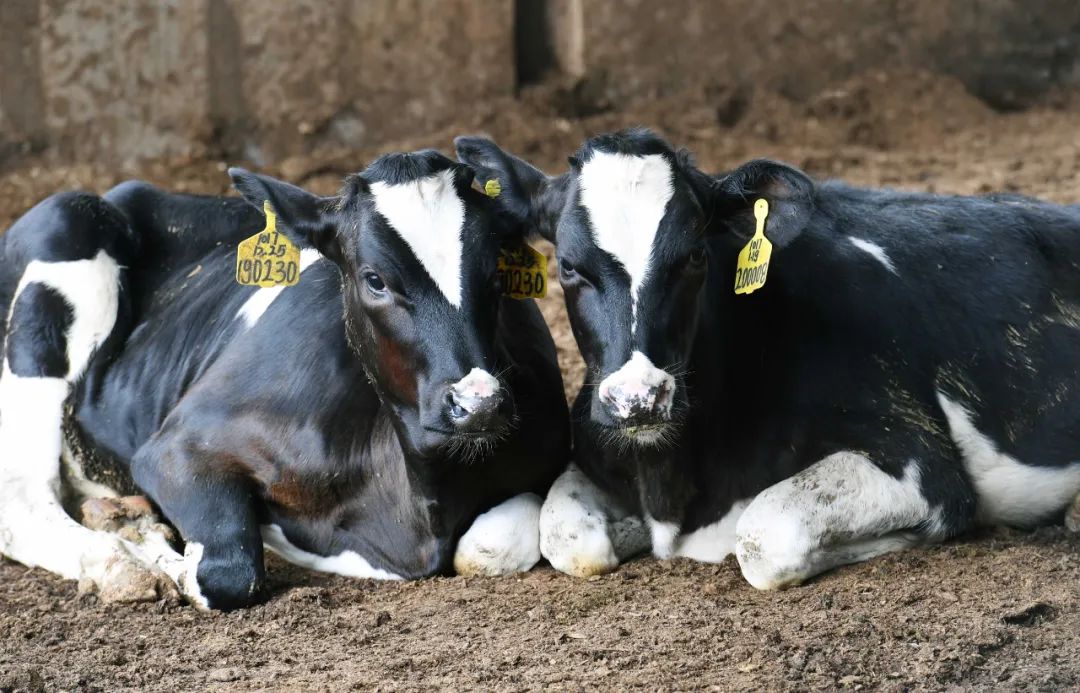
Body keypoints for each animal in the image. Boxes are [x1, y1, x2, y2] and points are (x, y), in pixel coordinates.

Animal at [0, 148, 570, 608]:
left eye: (496, 272)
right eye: (375, 279)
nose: (479, 404)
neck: (420, 498)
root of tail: (126, 191)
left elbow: (501, 537)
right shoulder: (177, 447)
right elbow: (227, 568)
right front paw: (142, 546)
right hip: (60, 253)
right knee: (24, 505)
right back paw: (117, 561)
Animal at [455, 126, 1080, 587]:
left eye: (696, 256)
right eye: (568, 267)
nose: (640, 399)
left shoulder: (922, 460)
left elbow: (762, 534)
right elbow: (563, 537)